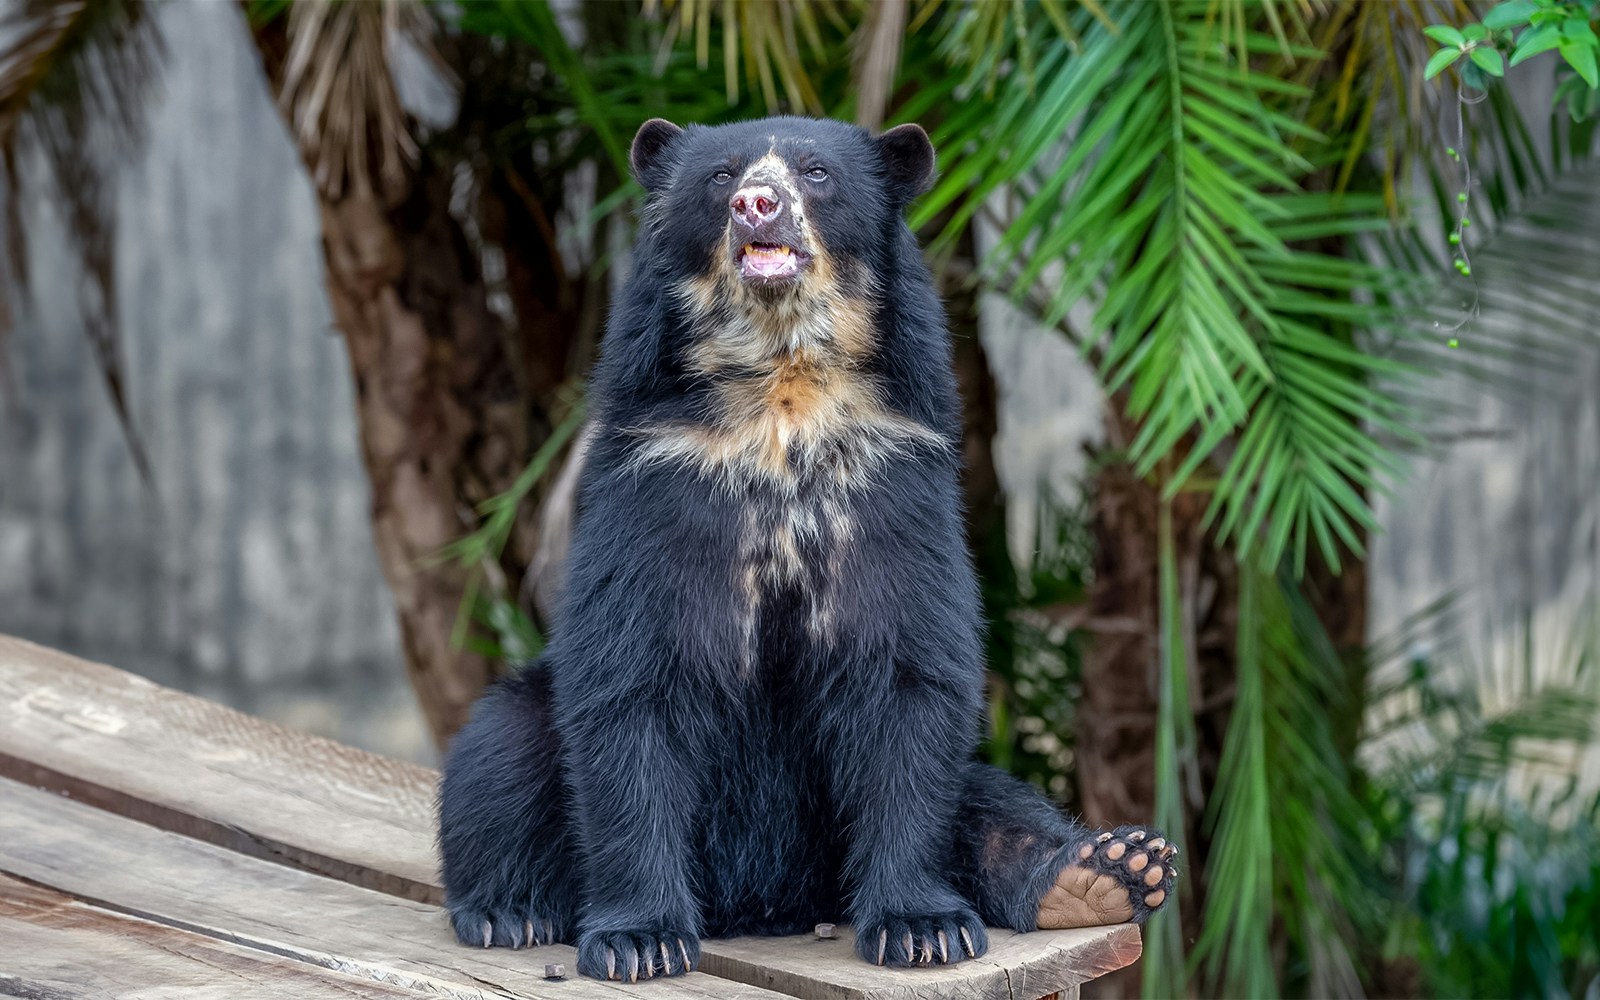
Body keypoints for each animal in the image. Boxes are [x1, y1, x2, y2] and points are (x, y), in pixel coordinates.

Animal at [437, 115, 1177, 982]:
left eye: (816, 173)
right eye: (723, 176)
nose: (758, 205)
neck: (782, 391)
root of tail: (769, 905)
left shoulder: (893, 486)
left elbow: (908, 683)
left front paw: (924, 930)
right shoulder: (656, 481)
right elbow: (632, 685)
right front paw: (639, 942)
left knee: (990, 797)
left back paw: (1108, 872)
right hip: (521, 723)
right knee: (501, 754)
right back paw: (510, 910)